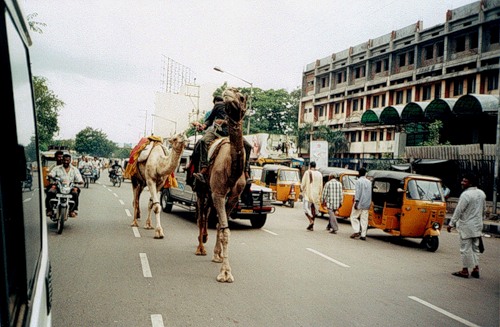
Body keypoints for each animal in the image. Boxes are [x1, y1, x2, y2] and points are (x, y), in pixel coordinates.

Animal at [196, 88, 249, 284]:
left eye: (241, 97)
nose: (228, 92)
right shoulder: (218, 193)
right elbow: (225, 230)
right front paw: (225, 273)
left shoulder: (232, 197)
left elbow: (222, 225)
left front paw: (218, 256)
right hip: (201, 189)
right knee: (201, 216)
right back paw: (200, 247)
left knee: (207, 215)